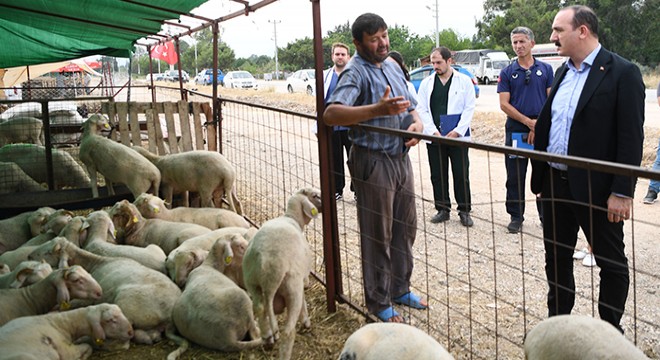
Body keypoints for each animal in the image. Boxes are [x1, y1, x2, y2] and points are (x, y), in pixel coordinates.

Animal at [28, 236, 186, 346]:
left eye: (48, 252)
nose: (29, 256)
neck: (96, 263)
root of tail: (170, 316)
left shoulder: (89, 296)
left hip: (125, 305)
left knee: (126, 337)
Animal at [244, 187, 324, 358]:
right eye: (315, 195)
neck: (291, 218)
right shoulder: (302, 278)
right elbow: (304, 300)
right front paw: (306, 322)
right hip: (291, 287)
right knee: (288, 331)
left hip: (251, 281)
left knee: (259, 308)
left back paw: (268, 338)